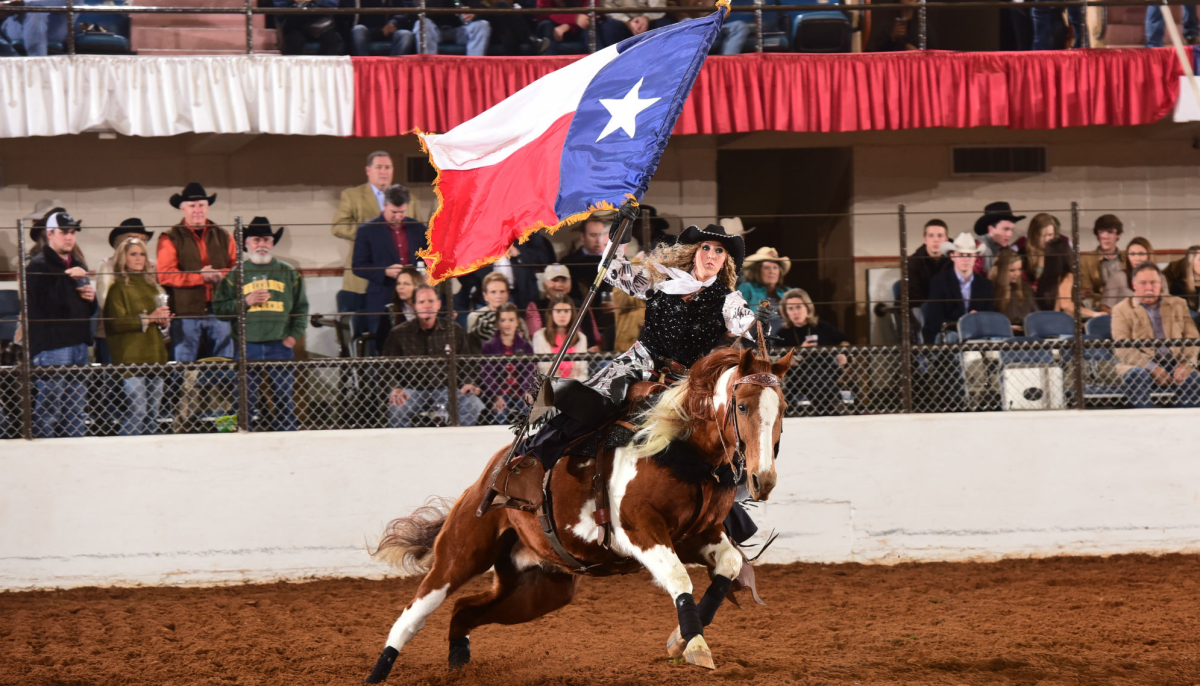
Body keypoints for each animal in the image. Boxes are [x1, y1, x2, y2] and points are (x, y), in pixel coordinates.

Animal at [364, 347, 796, 681]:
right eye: (742, 405)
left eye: (783, 409)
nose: (762, 479)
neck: (680, 446)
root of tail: (490, 478)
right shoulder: (638, 530)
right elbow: (678, 578)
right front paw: (697, 646)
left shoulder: (698, 535)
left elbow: (728, 566)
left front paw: (680, 641)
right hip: (459, 555)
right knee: (416, 614)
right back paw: (378, 672)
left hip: (538, 590)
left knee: (464, 610)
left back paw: (458, 661)